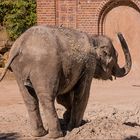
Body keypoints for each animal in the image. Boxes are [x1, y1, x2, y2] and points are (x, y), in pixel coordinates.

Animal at [0, 25, 131, 138]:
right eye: (115, 57)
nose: (119, 32)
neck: (94, 39)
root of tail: (20, 44)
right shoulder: (89, 64)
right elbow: (83, 94)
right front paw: (76, 126)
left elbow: (64, 97)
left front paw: (68, 118)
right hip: (45, 67)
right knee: (47, 98)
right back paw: (56, 135)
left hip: (19, 69)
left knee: (29, 98)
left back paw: (39, 134)